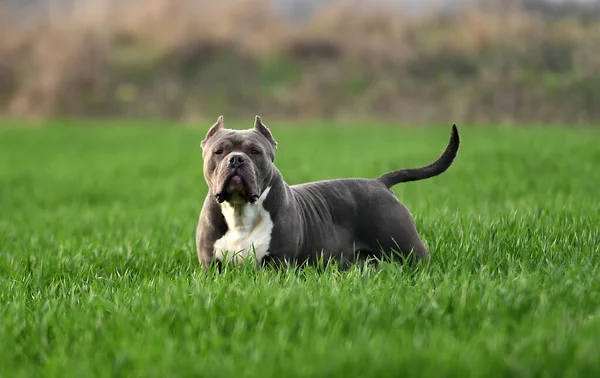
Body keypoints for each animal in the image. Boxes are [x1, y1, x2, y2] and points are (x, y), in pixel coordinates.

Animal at [196, 115, 460, 268]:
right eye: (219, 151)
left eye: (255, 152)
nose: (236, 159)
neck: (240, 210)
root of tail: (380, 183)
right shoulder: (211, 267)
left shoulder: (278, 264)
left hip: (408, 249)